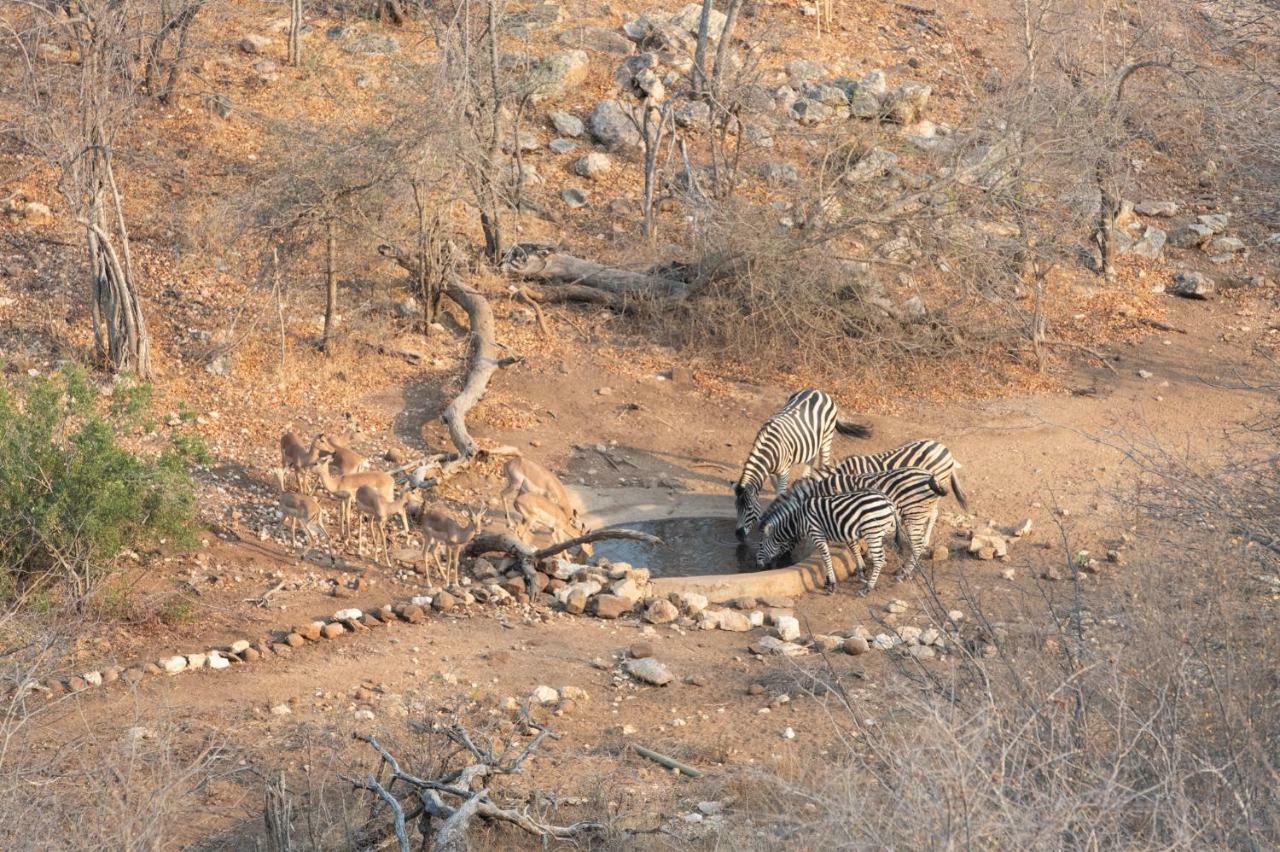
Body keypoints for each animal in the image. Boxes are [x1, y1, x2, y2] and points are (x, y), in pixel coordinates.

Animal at [737, 386, 875, 537]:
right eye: (736, 507)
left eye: (749, 509)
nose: (738, 535)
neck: (768, 451)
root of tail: (820, 392)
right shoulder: (772, 471)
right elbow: (775, 487)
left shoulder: (783, 470)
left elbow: (780, 492)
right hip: (813, 439)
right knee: (811, 458)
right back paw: (805, 480)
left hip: (826, 438)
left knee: (823, 462)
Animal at [752, 483, 906, 591]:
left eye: (761, 545)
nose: (757, 566)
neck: (798, 520)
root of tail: (887, 501)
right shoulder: (822, 536)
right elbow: (824, 558)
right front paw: (827, 581)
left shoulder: (816, 533)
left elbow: (826, 558)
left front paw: (831, 584)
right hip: (881, 532)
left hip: (872, 531)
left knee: (879, 558)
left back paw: (868, 587)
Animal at [757, 468, 952, 580]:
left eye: (760, 545)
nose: (761, 567)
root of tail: (928, 475)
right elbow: (854, 545)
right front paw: (864, 565)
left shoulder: (840, 518)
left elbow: (851, 545)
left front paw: (864, 566)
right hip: (921, 512)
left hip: (913, 514)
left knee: (917, 545)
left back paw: (904, 573)